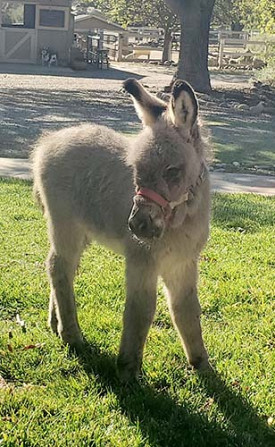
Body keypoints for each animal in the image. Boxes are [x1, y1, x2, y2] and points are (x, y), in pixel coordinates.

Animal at [33, 79, 212, 380]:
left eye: (172, 171)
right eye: (135, 169)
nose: (138, 224)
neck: (181, 220)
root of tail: (49, 141)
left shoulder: (184, 262)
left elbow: (186, 310)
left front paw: (203, 366)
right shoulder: (142, 260)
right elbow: (140, 310)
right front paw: (128, 370)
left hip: (80, 232)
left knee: (60, 267)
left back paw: (56, 324)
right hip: (64, 223)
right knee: (59, 267)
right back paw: (72, 336)